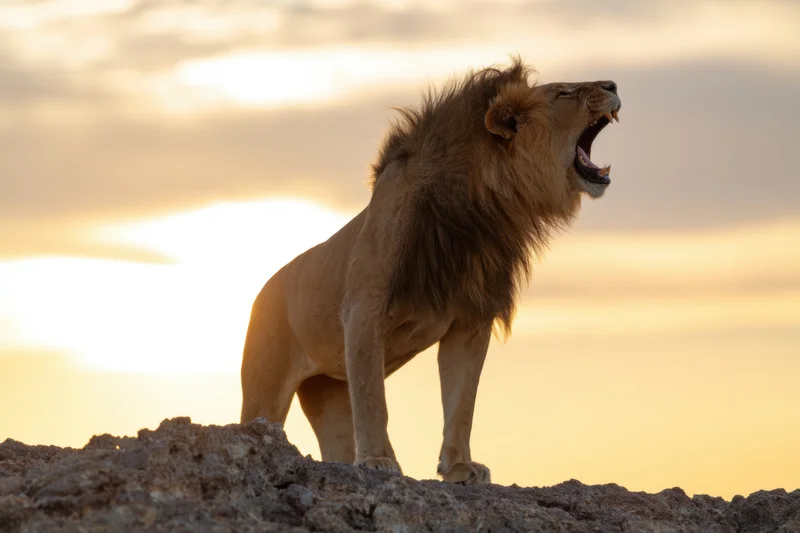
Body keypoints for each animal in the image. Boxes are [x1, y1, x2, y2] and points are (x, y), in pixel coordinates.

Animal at [240, 57, 621, 484]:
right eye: (564, 93)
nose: (612, 84)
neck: (480, 214)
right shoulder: (363, 310)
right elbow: (374, 401)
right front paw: (378, 460)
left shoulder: (470, 320)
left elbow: (461, 402)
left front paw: (459, 467)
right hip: (265, 386)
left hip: (329, 389)